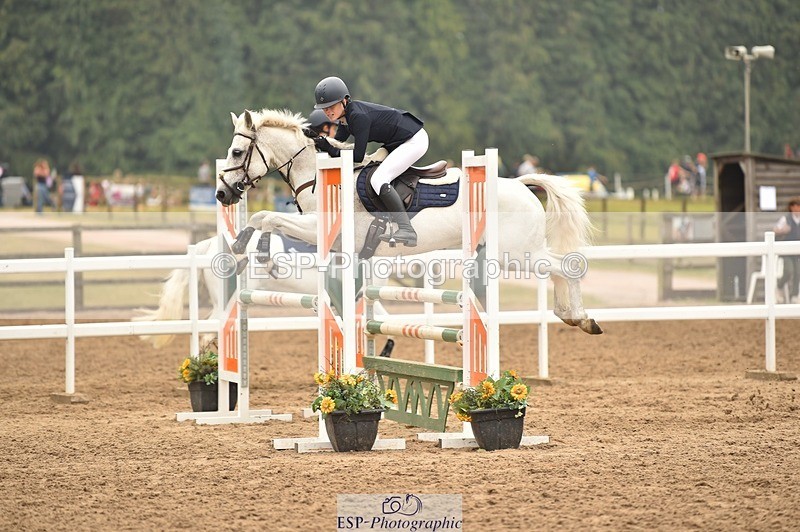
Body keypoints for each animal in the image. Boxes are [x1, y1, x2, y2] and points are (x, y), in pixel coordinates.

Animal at [215, 108, 602, 335]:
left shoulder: (318, 228)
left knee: (568, 267)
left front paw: (255, 248)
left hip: (517, 255)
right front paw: (246, 245)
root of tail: (522, 185)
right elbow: (265, 217)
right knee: (562, 268)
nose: (222, 194)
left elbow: (268, 216)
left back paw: (580, 318)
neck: (318, 172)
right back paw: (572, 316)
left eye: (237, 152)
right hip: (515, 253)